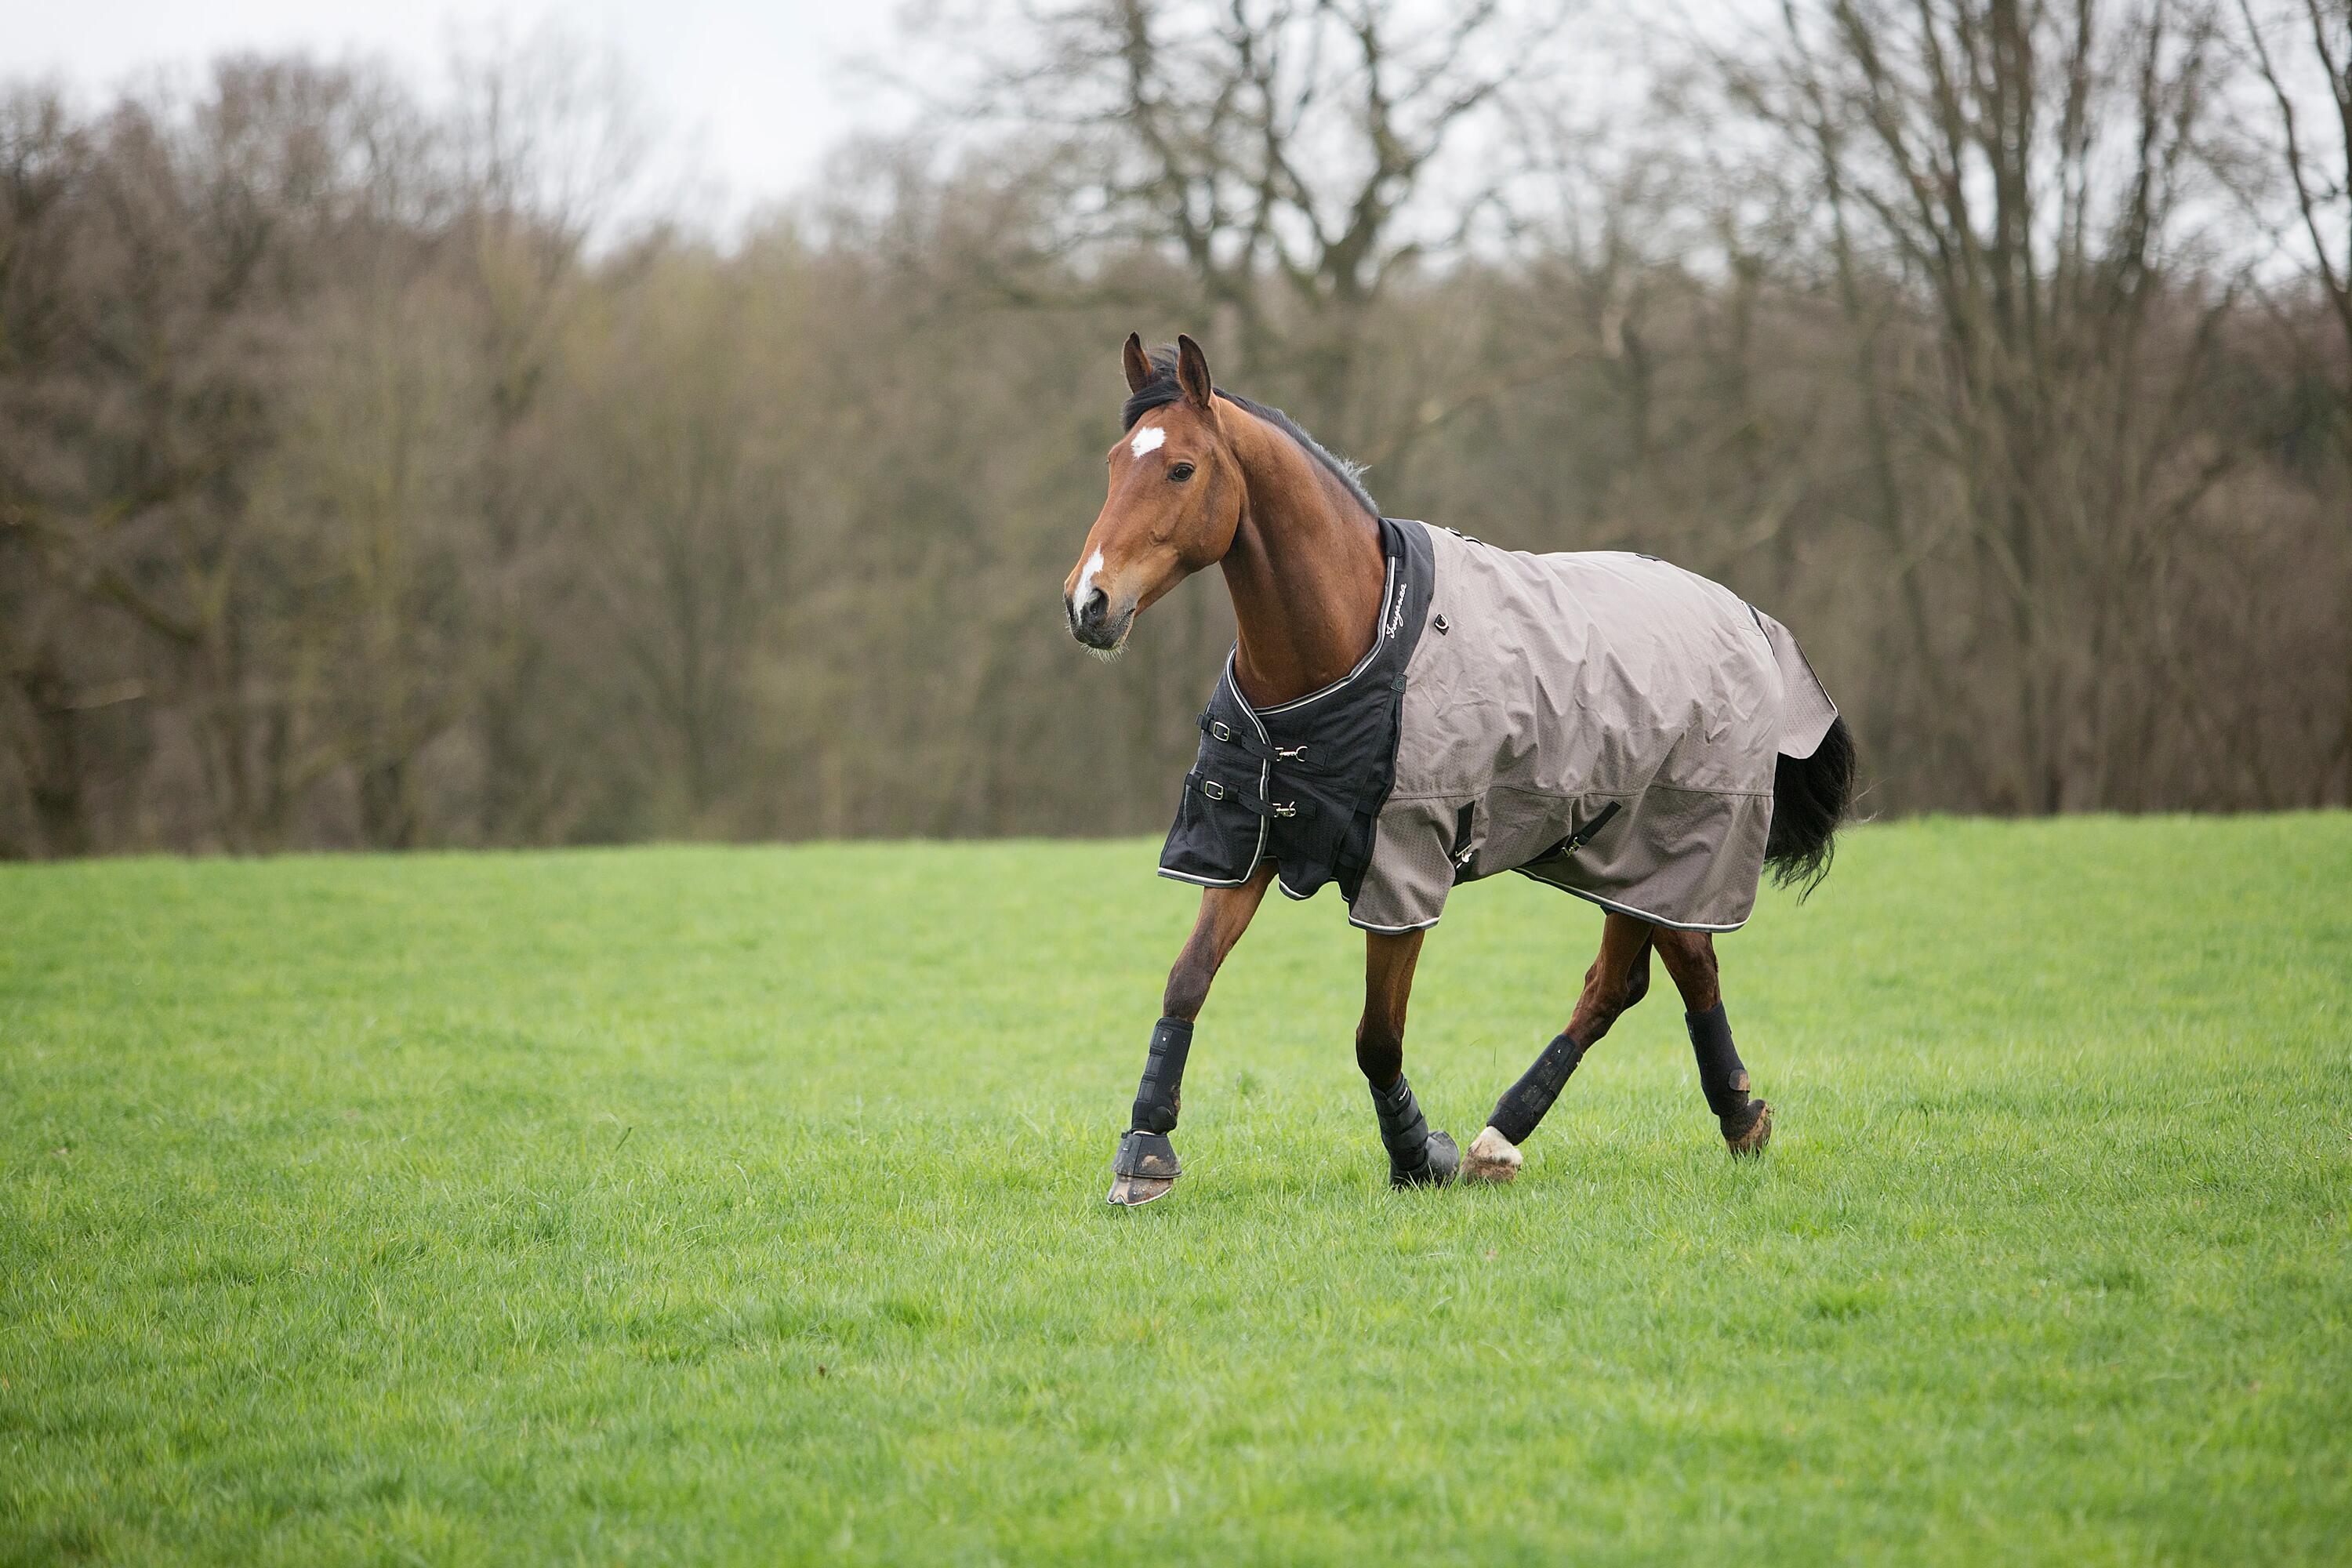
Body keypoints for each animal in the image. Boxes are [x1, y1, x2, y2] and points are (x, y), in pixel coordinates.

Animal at [1064, 333, 1855, 1205]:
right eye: (1113, 463)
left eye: (1181, 469)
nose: (1088, 603)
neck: (1349, 646)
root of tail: (1746, 617)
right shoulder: (1248, 841)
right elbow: (1187, 980)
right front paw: (1145, 1150)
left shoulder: (1402, 873)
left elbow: (1377, 1036)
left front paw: (1416, 1155)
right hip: (1620, 855)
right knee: (1635, 980)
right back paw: (1523, 1136)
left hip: (1678, 847)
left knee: (1674, 968)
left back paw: (1692, 1120)